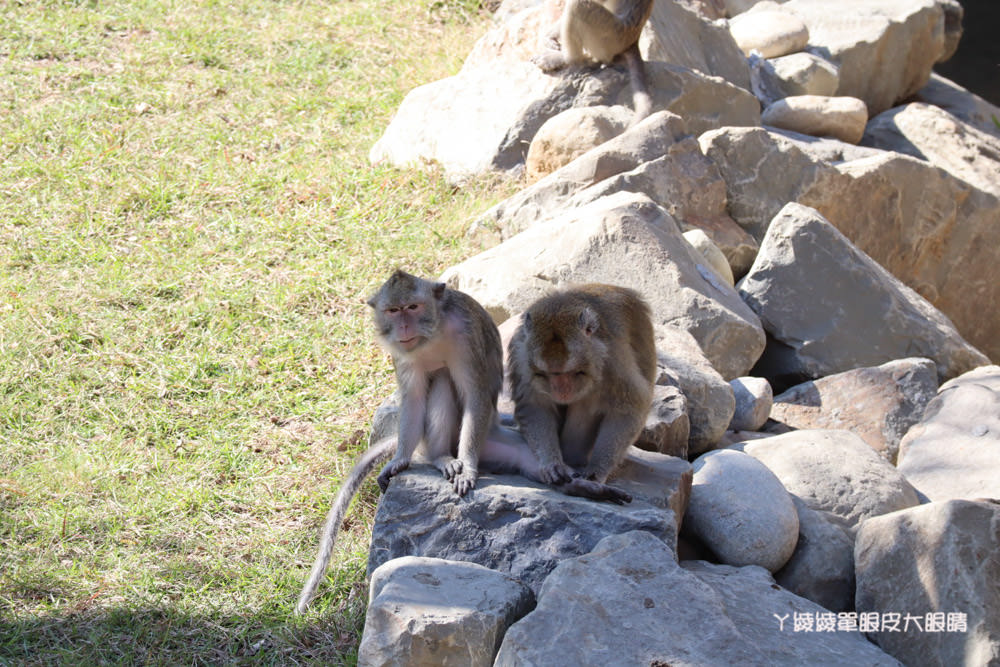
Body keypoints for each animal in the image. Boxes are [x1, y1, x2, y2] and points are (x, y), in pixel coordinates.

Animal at [294, 272, 632, 616]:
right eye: (393, 310)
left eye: (413, 307)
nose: (404, 327)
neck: (433, 333)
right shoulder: (401, 353)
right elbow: (413, 398)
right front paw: (399, 459)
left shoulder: (467, 336)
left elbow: (476, 395)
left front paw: (468, 466)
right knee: (439, 379)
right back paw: (441, 457)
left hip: (495, 441)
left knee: (530, 458)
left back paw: (580, 486)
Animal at [508, 282, 656, 486]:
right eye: (544, 374)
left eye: (575, 372)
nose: (561, 392)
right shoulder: (520, 356)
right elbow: (535, 407)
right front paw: (552, 463)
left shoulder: (613, 363)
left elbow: (628, 410)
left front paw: (596, 470)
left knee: (587, 402)